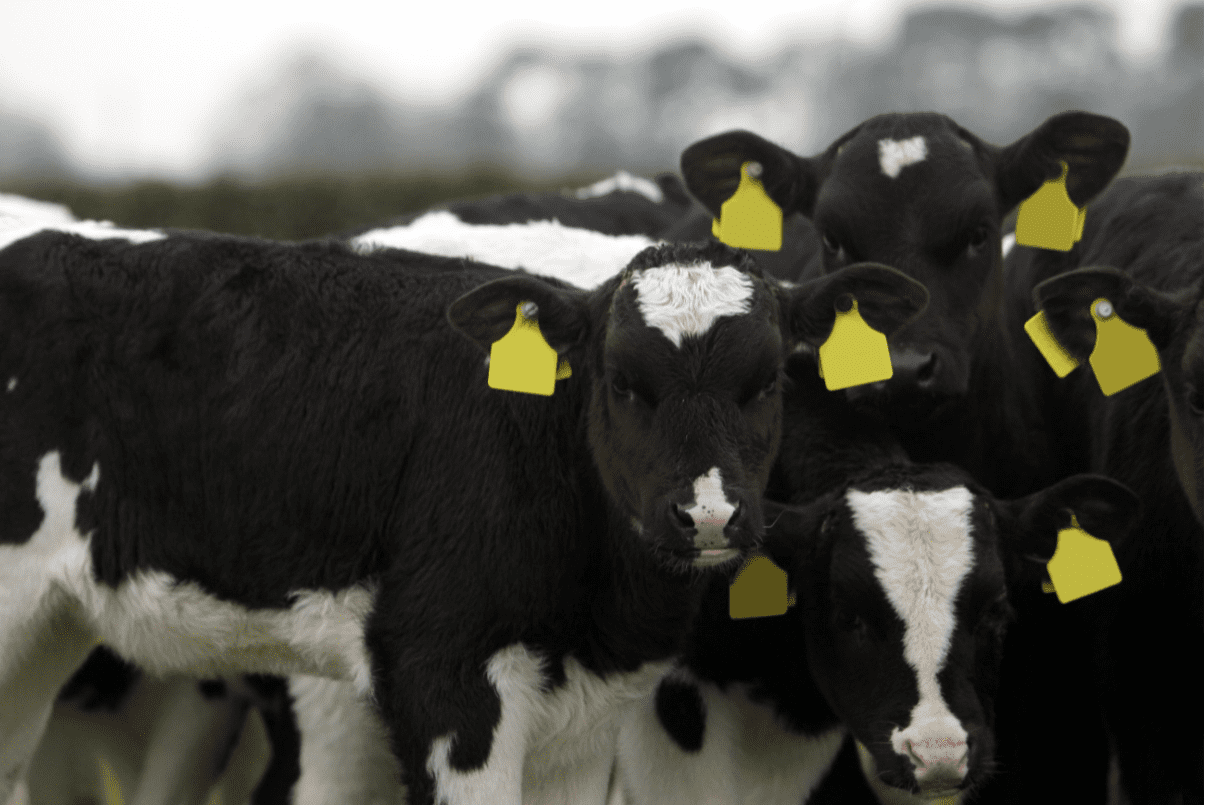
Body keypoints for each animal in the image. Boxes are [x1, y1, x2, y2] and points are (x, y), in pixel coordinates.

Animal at [0, 221, 927, 805]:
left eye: (765, 382)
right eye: (622, 383)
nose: (704, 516)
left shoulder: (584, 713)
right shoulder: (442, 671)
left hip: (47, 635)